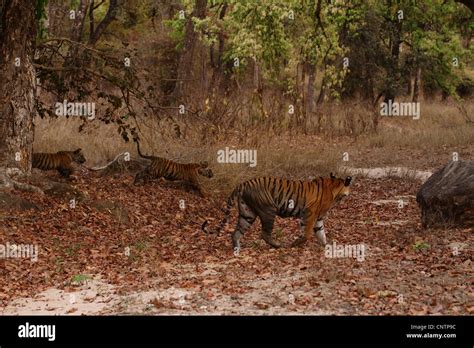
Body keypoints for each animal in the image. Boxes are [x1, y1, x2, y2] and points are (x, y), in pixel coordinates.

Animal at [201, 174, 352, 250]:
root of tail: (242, 184)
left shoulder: (318, 217)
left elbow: (321, 232)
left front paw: (327, 245)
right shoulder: (310, 213)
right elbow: (307, 233)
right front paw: (295, 243)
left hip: (247, 213)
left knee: (236, 232)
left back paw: (237, 249)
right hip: (268, 210)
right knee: (264, 234)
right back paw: (278, 246)